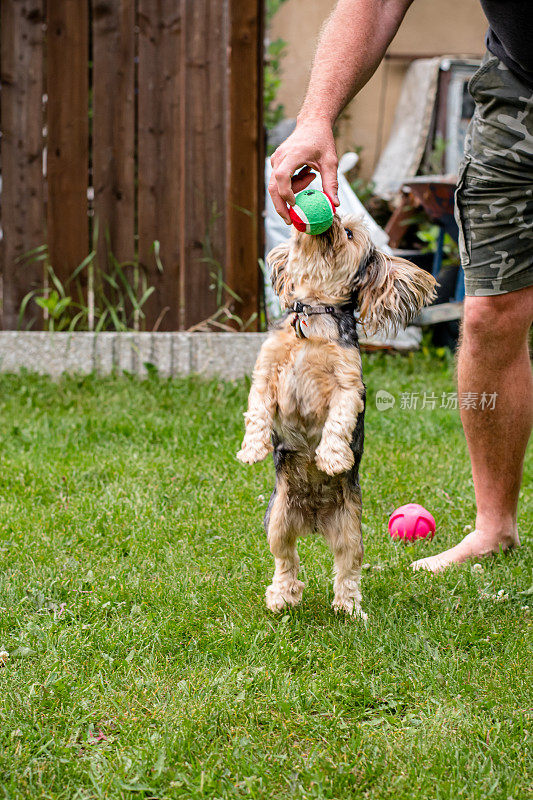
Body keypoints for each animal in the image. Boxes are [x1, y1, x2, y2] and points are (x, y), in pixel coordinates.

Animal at [236, 214, 432, 620]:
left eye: (350, 234)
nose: (335, 218)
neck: (314, 312)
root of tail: (314, 519)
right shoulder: (266, 371)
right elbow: (258, 410)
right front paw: (252, 449)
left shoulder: (347, 383)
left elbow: (339, 421)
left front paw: (332, 458)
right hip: (278, 519)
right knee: (286, 559)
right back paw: (282, 596)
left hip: (350, 527)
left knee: (347, 567)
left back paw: (349, 607)